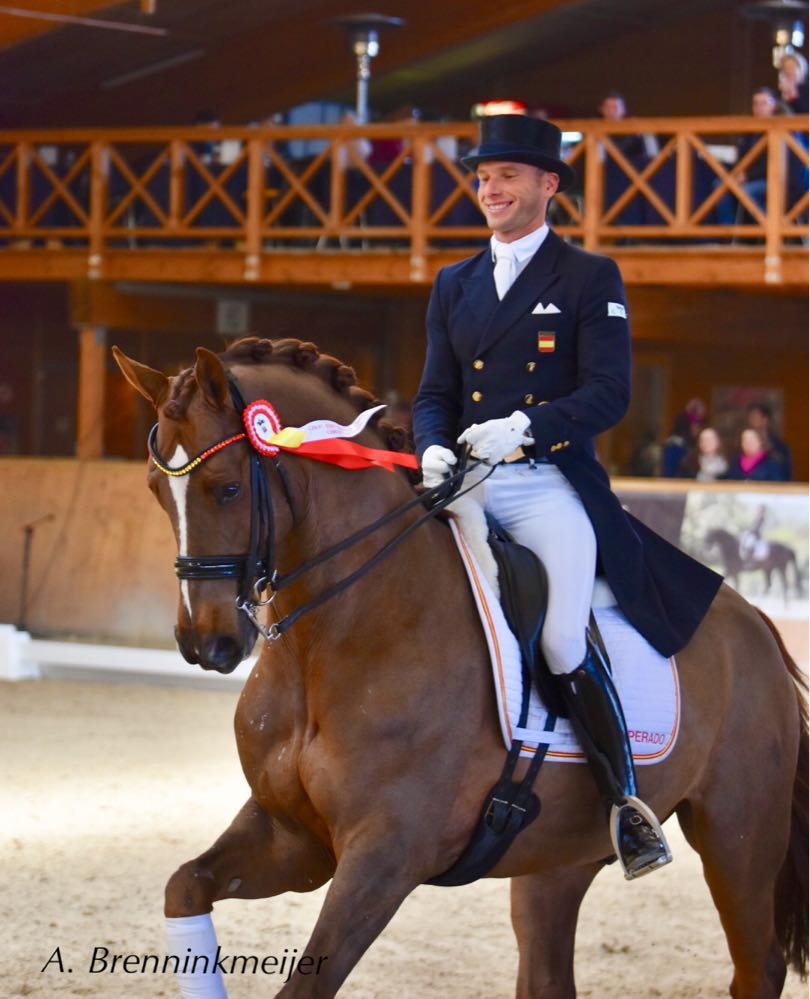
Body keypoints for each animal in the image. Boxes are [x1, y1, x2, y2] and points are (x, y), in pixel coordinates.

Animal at [115, 336, 808, 999]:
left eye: (228, 487)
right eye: (154, 491)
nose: (205, 643)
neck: (338, 637)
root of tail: (755, 625)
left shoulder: (385, 858)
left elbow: (307, 985)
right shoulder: (293, 838)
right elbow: (184, 886)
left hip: (738, 835)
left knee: (758, 968)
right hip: (557, 859)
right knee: (549, 977)